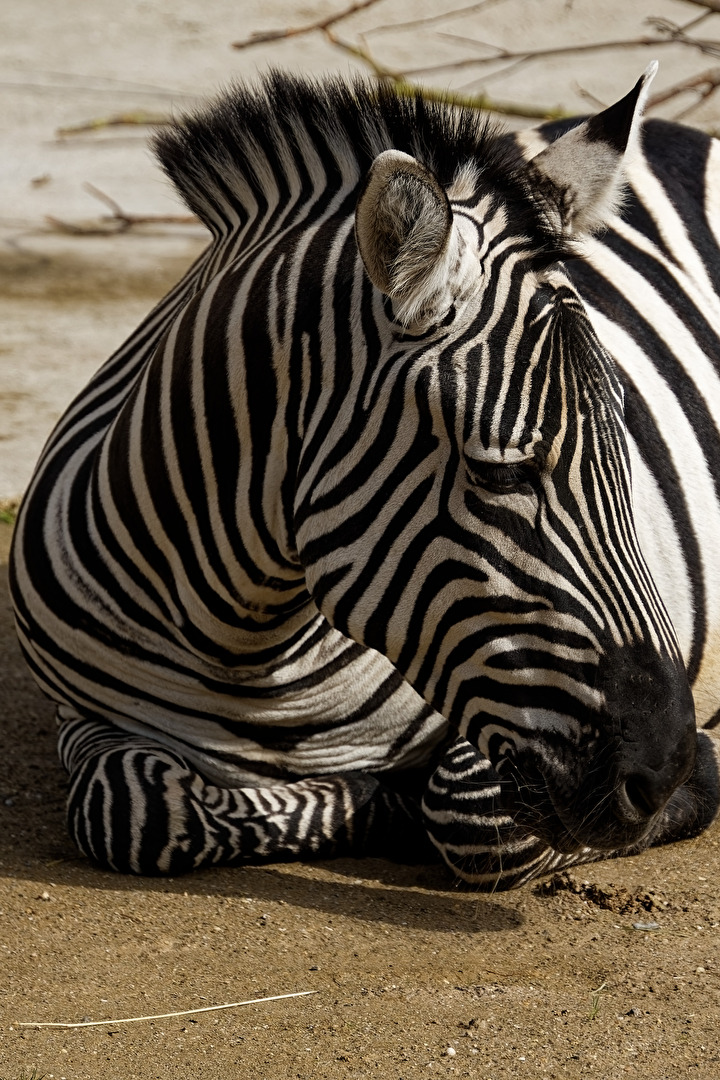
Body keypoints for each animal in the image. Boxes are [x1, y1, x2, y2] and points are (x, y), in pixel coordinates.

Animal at [9, 65, 720, 889]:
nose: (663, 771)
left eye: (625, 445)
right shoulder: (83, 719)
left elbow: (471, 816)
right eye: (499, 472)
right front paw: (367, 800)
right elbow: (132, 807)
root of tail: (678, 129)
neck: (244, 647)